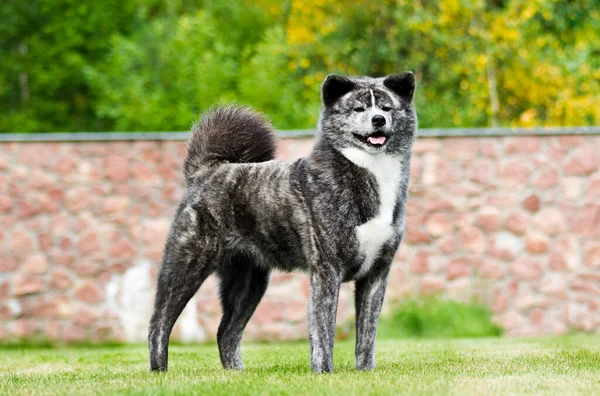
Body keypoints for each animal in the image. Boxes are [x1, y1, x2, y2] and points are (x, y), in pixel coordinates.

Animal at [148, 72, 418, 372]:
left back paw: (236, 374)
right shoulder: (326, 271)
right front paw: (325, 373)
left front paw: (365, 372)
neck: (371, 170)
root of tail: (207, 171)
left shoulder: (376, 274)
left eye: (386, 108)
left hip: (249, 281)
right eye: (358, 109)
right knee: (159, 323)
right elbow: (323, 331)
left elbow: (367, 335)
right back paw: (159, 371)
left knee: (226, 331)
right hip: (186, 264)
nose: (378, 120)